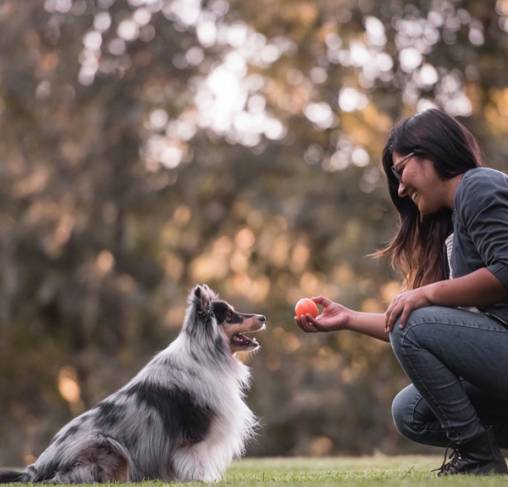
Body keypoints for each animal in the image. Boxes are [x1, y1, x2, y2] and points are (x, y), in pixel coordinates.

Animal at [0, 284, 268, 482]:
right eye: (230, 316)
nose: (264, 317)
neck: (206, 354)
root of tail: (36, 467)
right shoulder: (194, 436)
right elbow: (196, 464)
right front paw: (201, 480)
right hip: (107, 444)